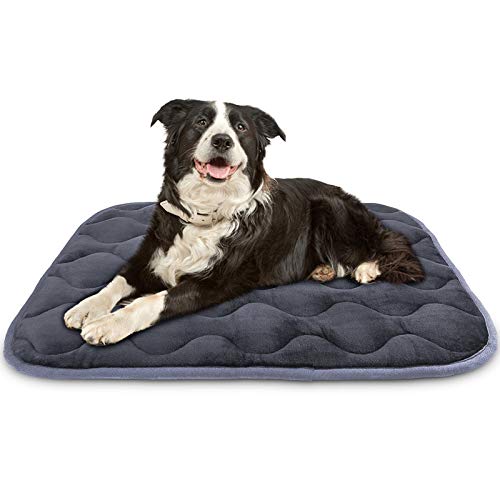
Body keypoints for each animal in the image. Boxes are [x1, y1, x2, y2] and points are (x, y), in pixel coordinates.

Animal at [64, 99, 424, 345]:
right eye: (201, 122)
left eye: (240, 129)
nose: (222, 140)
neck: (205, 210)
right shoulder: (150, 255)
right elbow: (117, 281)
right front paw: (86, 308)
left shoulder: (212, 284)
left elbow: (152, 301)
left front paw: (108, 325)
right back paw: (323, 269)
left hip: (330, 208)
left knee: (386, 244)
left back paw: (366, 268)